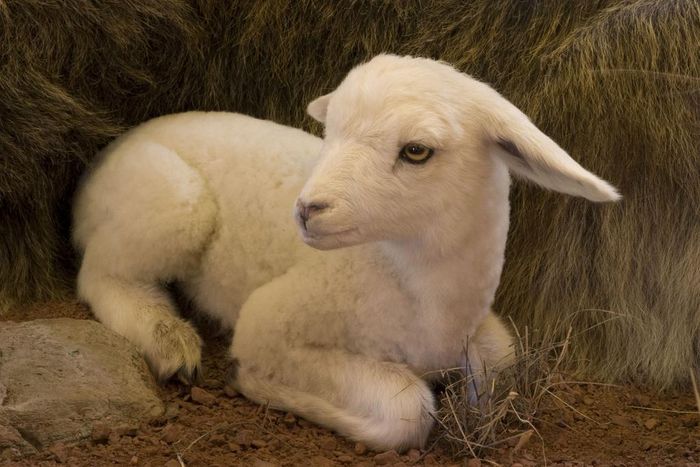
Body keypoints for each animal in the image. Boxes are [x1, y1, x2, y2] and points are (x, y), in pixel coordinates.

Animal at [72, 54, 620, 450]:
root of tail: (102, 161)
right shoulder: (269, 322)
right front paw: (255, 381)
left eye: (416, 150)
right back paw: (167, 339)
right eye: (329, 131)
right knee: (100, 276)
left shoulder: (478, 335)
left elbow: (504, 359)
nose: (307, 209)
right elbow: (408, 408)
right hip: (174, 202)